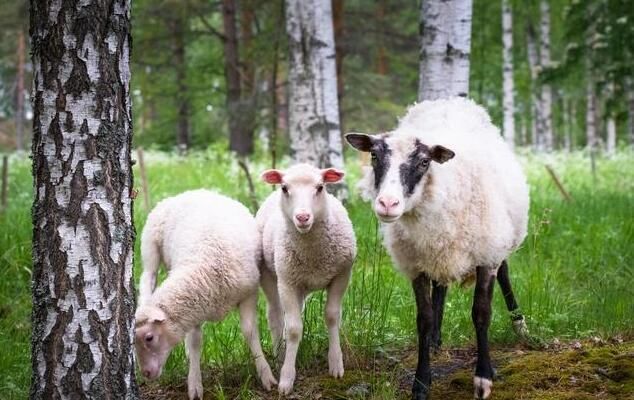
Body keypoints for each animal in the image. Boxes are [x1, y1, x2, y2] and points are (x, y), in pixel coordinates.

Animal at [135, 191, 276, 400]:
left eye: (149, 338)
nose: (146, 373)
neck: (206, 269)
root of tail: (194, 191)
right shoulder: (195, 305)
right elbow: (195, 342)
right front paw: (194, 384)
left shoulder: (248, 293)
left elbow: (250, 332)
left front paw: (265, 373)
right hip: (150, 245)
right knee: (148, 277)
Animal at [256, 164, 356, 396]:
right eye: (285, 188)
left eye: (320, 187)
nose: (302, 217)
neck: (313, 254)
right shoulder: (287, 282)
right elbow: (294, 329)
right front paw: (286, 378)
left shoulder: (342, 275)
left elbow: (332, 317)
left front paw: (336, 364)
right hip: (270, 274)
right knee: (275, 315)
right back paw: (279, 355)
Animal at [346, 97, 528, 400]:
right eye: (374, 156)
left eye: (424, 162)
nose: (387, 204)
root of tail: (449, 100)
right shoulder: (416, 264)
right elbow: (424, 319)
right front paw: (421, 383)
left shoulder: (486, 255)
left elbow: (481, 314)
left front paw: (483, 377)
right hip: (438, 252)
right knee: (440, 286)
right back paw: (435, 341)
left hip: (498, 238)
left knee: (504, 273)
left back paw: (520, 325)